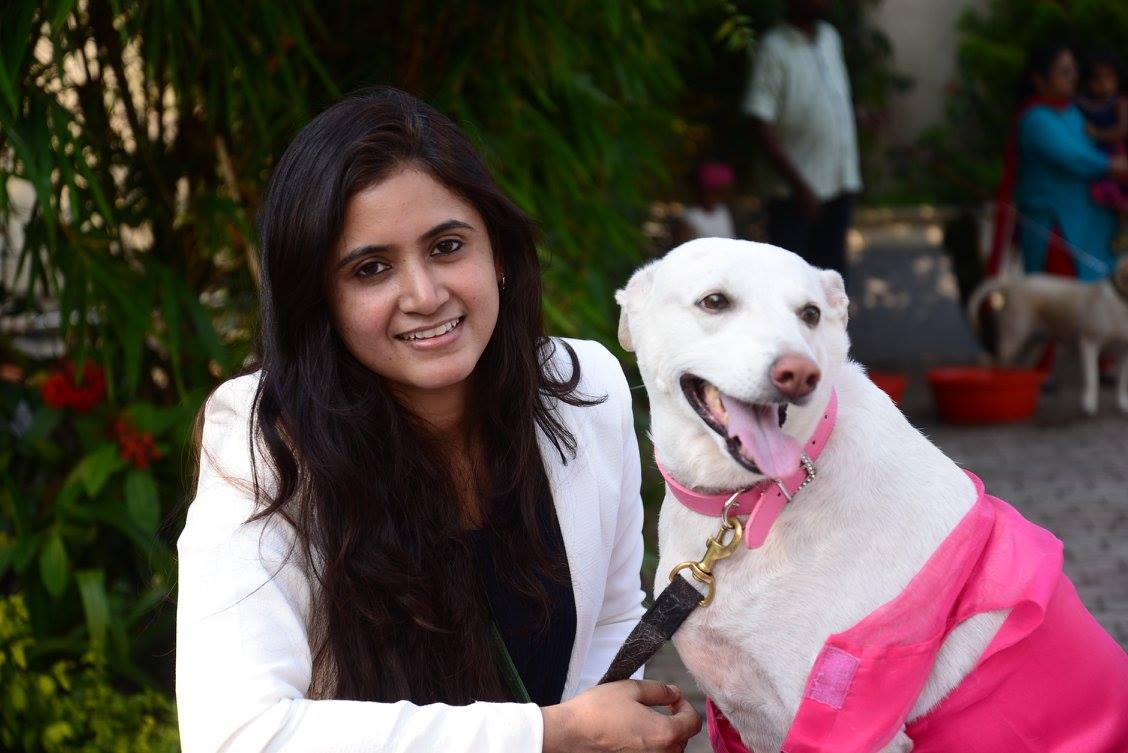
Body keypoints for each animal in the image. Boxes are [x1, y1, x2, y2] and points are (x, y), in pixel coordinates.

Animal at [966, 255, 1128, 415]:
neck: (1120, 301)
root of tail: (1010, 285)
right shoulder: (1089, 342)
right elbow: (1092, 377)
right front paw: (1089, 404)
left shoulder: (1123, 351)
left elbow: (1122, 381)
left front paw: (1123, 403)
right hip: (1012, 341)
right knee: (992, 362)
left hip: (1032, 344)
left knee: (1019, 368)